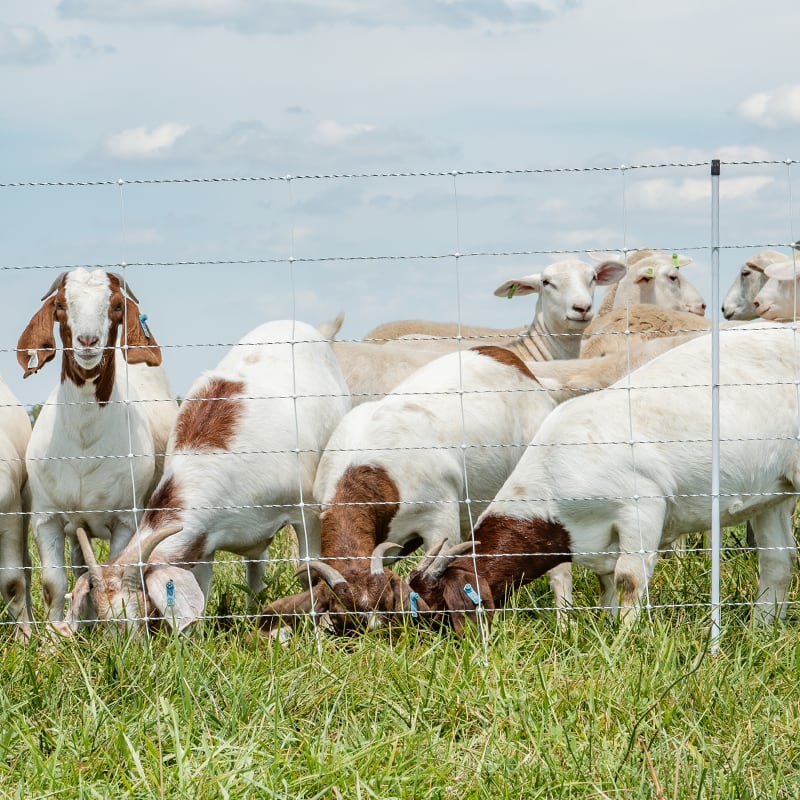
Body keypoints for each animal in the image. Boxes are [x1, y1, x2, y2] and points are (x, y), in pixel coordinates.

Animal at [15, 268, 178, 624]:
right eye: (60, 305)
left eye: (117, 306)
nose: (87, 342)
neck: (84, 441)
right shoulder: (45, 517)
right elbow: (53, 583)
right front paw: (53, 633)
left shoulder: (126, 522)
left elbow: (114, 570)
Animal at [57, 316, 352, 636]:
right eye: (101, 621)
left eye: (146, 613)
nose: (127, 649)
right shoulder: (204, 541)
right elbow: (203, 591)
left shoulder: (306, 511)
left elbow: (309, 570)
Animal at [406, 322, 800, 636]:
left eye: (439, 607)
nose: (443, 646)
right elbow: (606, 582)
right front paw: (608, 628)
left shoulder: (643, 503)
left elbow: (629, 578)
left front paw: (625, 638)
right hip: (773, 495)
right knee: (778, 561)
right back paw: (760, 630)